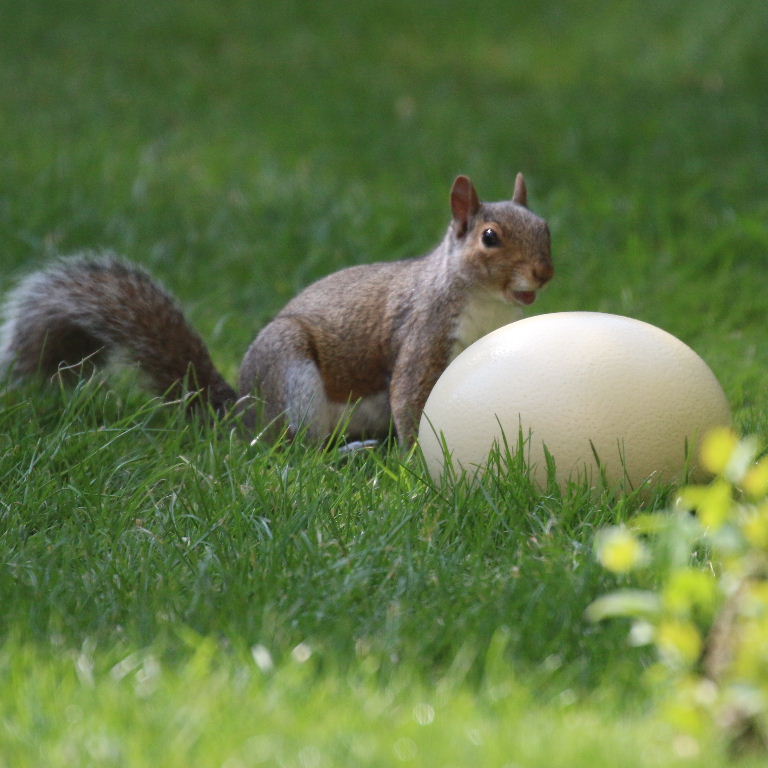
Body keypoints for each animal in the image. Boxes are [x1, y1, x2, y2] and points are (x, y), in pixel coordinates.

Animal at [0, 174, 553, 446]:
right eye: (489, 238)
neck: (487, 305)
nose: (544, 273)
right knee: (292, 449)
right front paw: (418, 455)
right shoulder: (424, 331)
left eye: (546, 228)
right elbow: (409, 397)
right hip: (291, 375)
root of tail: (244, 412)